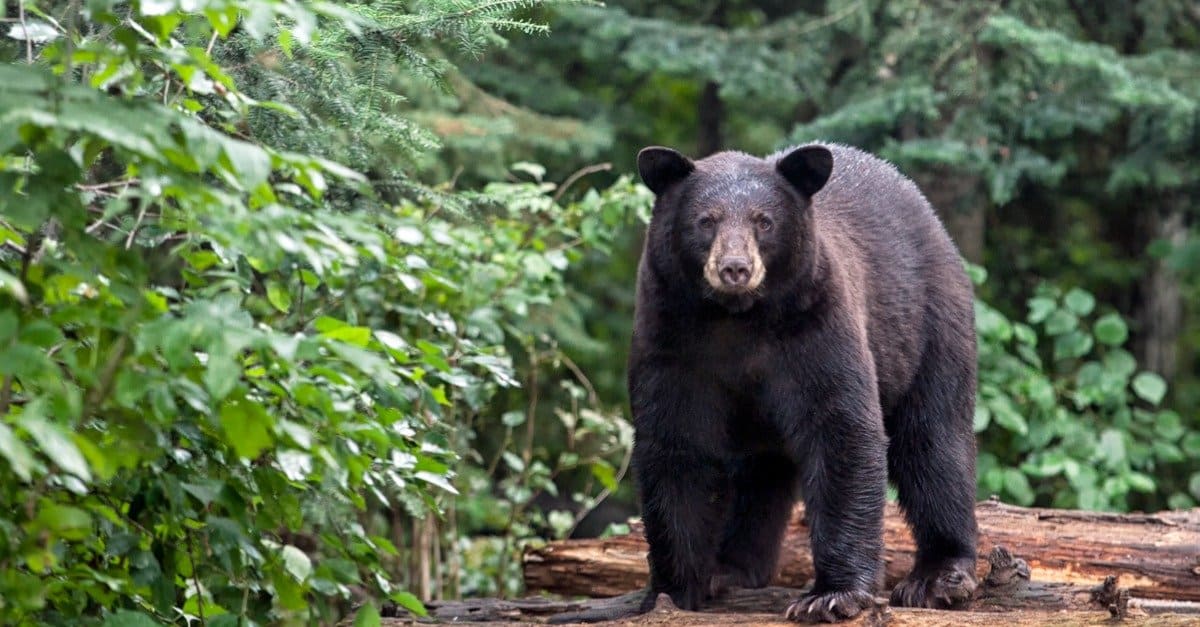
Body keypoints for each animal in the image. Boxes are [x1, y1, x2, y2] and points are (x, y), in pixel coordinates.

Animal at [628, 142, 979, 623]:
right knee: (757, 473)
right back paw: (731, 568)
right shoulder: (671, 338)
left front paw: (832, 595)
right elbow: (675, 446)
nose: (735, 268)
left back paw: (938, 575)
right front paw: (673, 591)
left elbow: (841, 429)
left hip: (929, 327)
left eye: (764, 221)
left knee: (934, 442)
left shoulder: (814, 326)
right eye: (706, 220)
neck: (736, 319)